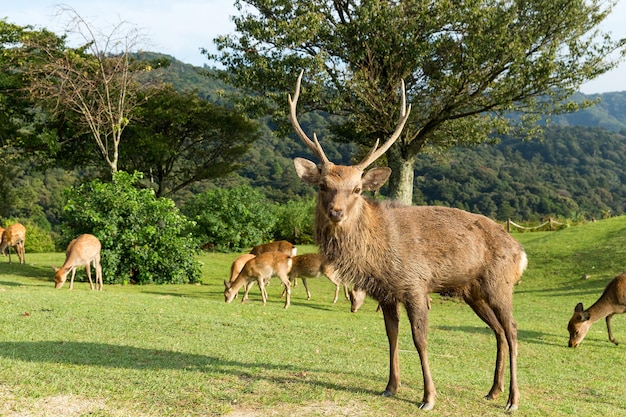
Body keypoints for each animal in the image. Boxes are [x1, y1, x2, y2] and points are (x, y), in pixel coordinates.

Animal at [288, 70, 528, 410]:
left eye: (357, 189)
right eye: (322, 185)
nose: (336, 212)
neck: (376, 255)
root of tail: (521, 252)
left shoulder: (415, 283)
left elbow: (419, 338)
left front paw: (428, 397)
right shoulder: (386, 293)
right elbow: (392, 335)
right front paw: (390, 386)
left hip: (500, 282)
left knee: (512, 330)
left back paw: (512, 399)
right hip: (473, 291)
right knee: (497, 332)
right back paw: (492, 391)